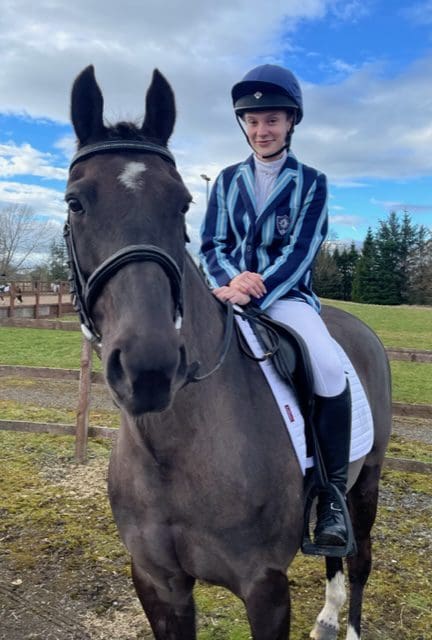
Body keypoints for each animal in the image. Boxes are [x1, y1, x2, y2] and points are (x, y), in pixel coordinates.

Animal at [66, 66, 392, 640]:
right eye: (75, 202)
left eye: (182, 204)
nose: (150, 369)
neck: (172, 452)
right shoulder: (157, 583)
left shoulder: (265, 587)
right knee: (336, 552)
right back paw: (328, 617)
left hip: (366, 480)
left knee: (359, 559)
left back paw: (349, 623)